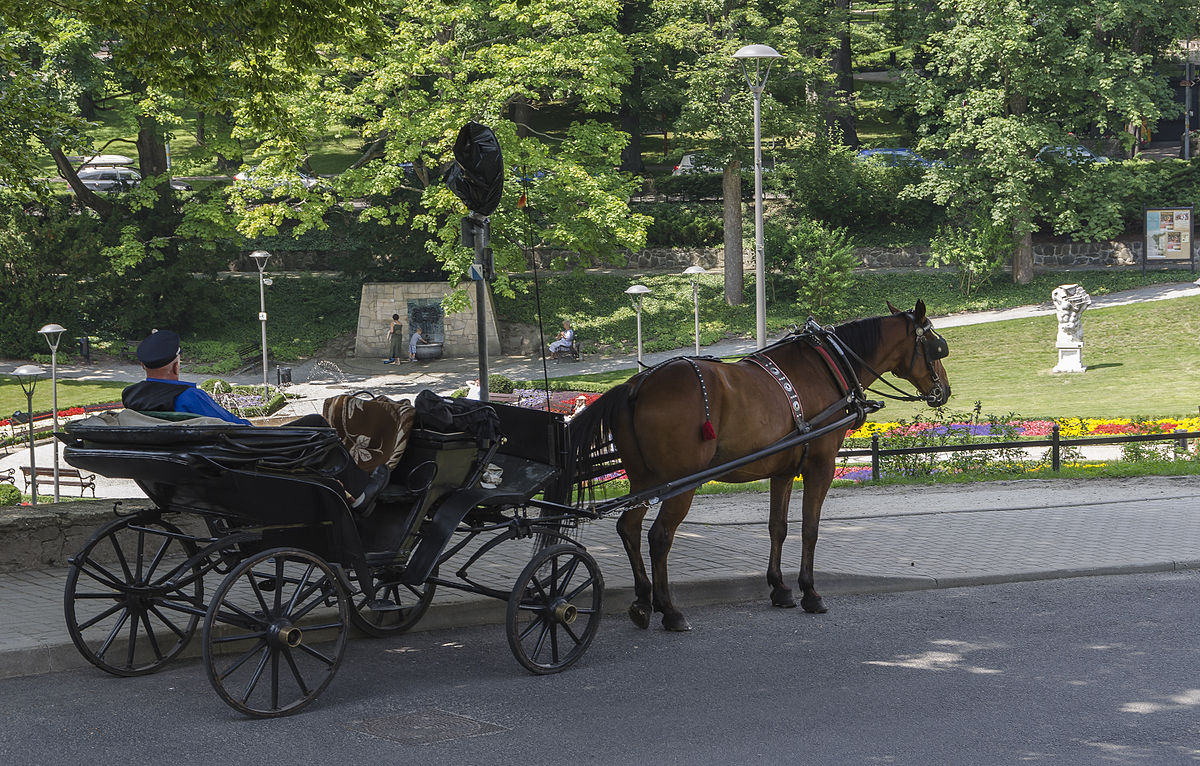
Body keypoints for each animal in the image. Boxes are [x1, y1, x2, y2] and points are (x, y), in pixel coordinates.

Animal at [566, 302, 950, 633]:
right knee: (659, 536)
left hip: (644, 480)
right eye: (936, 346)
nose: (943, 390)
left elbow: (777, 527)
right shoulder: (821, 465)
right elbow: (809, 528)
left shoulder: (784, 469)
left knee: (628, 528)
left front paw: (779, 588)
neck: (829, 366)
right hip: (678, 483)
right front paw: (810, 592)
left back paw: (643, 602)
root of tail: (637, 385)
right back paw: (669, 609)